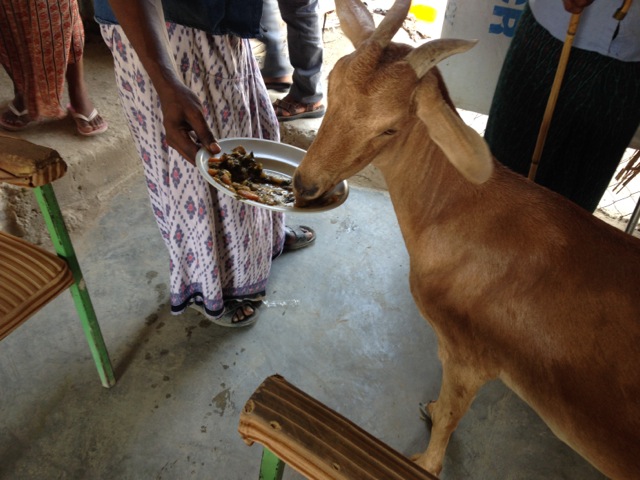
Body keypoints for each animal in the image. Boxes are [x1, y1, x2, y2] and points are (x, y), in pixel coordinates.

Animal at [292, 0, 640, 476]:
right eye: (333, 84)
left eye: (390, 128)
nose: (305, 185)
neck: (462, 212)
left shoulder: (469, 355)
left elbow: (451, 419)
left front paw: (425, 455)